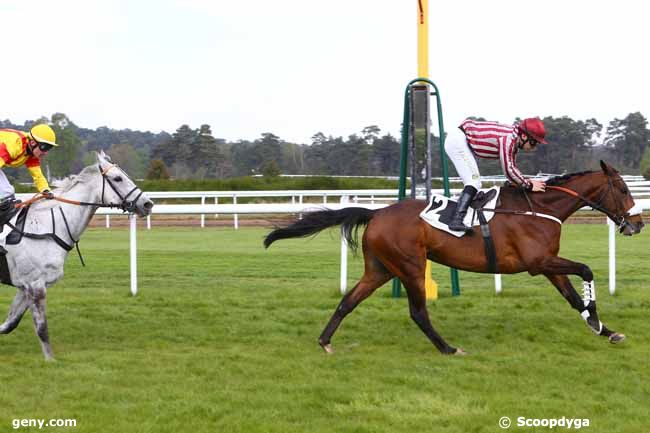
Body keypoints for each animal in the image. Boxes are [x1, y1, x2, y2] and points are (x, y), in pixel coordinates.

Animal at [0, 150, 153, 360]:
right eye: (118, 178)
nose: (147, 204)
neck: (47, 226)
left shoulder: (25, 286)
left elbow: (10, 323)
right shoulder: (35, 285)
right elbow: (42, 328)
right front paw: (51, 360)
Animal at [264, 162, 644, 354]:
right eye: (625, 189)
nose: (638, 223)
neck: (539, 208)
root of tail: (376, 213)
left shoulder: (548, 264)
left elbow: (572, 297)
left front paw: (604, 329)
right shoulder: (538, 264)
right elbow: (587, 270)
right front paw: (596, 320)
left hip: (381, 269)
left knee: (348, 300)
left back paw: (325, 341)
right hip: (410, 267)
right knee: (418, 312)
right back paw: (447, 348)